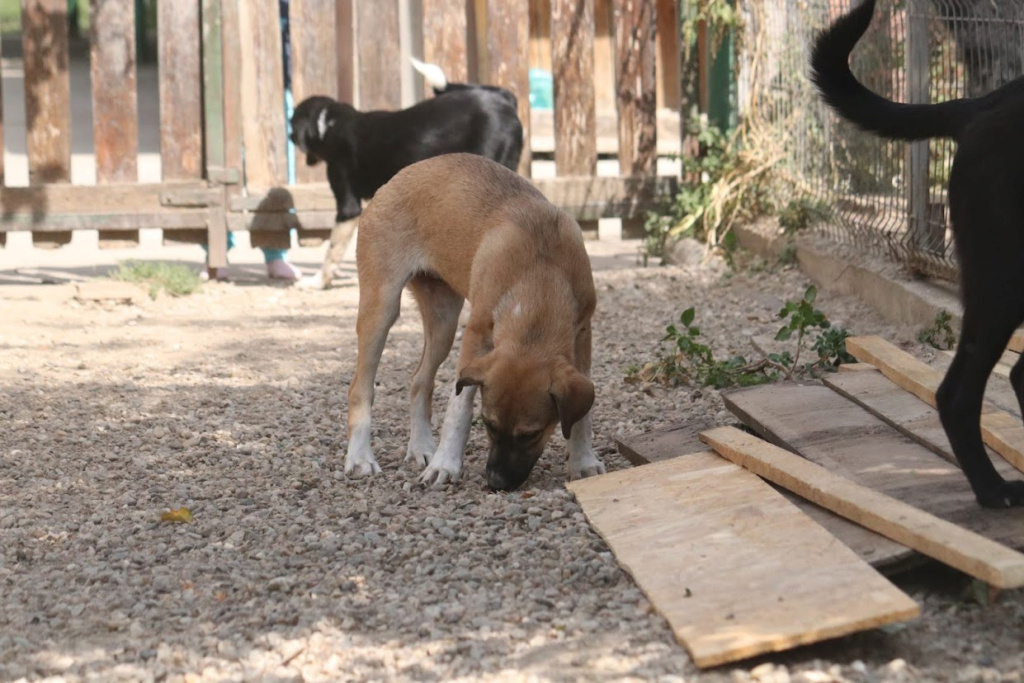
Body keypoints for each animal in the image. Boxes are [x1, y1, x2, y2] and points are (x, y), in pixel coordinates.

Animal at [344, 152, 602, 489]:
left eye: (531, 434)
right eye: (488, 424)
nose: (496, 482)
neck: (540, 274)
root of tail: (396, 178)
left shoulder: (582, 334)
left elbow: (582, 417)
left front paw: (583, 461)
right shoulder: (477, 335)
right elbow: (459, 407)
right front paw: (445, 465)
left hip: (443, 321)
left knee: (419, 381)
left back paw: (421, 448)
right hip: (381, 308)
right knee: (360, 388)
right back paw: (360, 458)